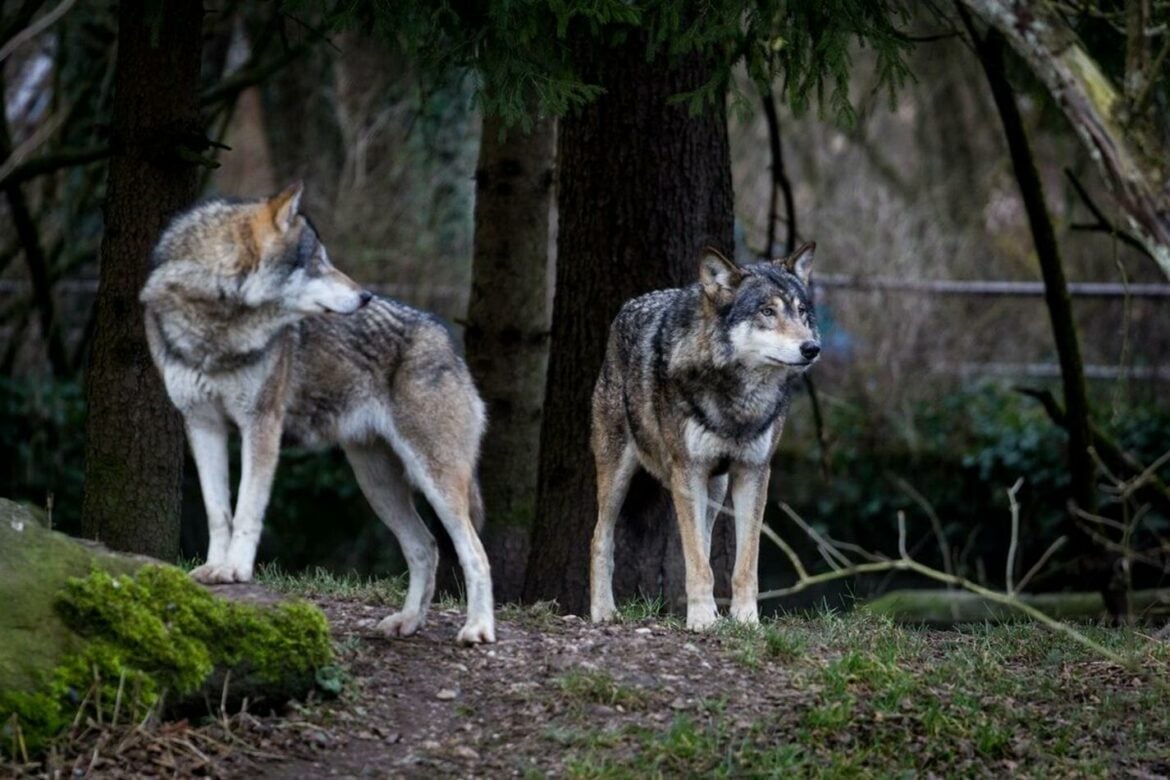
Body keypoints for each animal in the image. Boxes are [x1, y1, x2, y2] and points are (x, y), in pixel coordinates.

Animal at [139, 184, 496, 645]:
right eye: (317, 263)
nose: (364, 296)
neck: (217, 326)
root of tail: (445, 337)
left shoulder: (261, 425)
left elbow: (247, 509)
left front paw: (235, 569)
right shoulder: (202, 426)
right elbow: (219, 511)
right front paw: (213, 569)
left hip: (435, 481)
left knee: (475, 553)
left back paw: (478, 628)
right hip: (377, 484)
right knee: (425, 547)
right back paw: (407, 622)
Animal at [589, 242, 819, 626]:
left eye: (801, 312)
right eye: (767, 312)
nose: (811, 348)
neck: (739, 399)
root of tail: (628, 307)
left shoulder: (753, 472)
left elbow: (744, 564)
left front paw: (746, 620)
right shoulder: (688, 470)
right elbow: (698, 562)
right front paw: (700, 620)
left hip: (715, 487)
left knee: (704, 543)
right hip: (618, 474)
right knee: (599, 539)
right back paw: (603, 611)